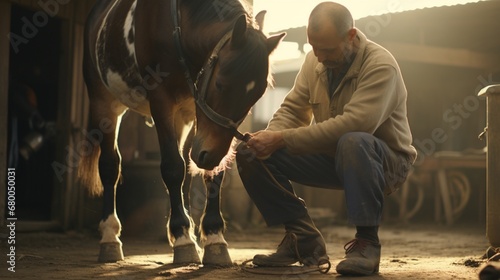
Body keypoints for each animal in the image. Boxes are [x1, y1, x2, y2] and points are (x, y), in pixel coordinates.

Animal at [80, 0, 286, 266]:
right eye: (220, 84)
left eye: (257, 95)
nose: (209, 155)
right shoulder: (161, 101)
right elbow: (172, 167)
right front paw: (183, 238)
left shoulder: (196, 111)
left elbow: (209, 174)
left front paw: (213, 237)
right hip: (103, 102)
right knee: (110, 167)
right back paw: (110, 237)